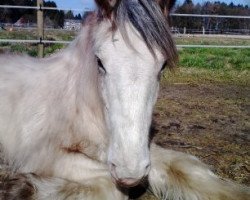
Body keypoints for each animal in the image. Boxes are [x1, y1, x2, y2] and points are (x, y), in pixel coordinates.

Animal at [0, 0, 249, 200]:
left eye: (163, 66)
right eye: (99, 61)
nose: (130, 172)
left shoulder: (142, 151)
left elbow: (186, 168)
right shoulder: (41, 154)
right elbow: (111, 186)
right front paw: (21, 188)